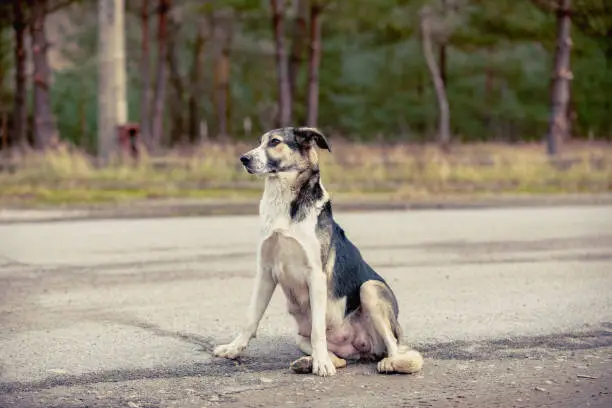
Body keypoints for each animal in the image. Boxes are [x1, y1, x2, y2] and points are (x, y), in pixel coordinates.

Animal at [213, 126, 424, 376]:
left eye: (275, 142)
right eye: (260, 142)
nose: (243, 159)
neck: (285, 202)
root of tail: (359, 348)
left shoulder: (315, 275)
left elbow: (317, 330)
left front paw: (321, 364)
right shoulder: (265, 272)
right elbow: (251, 318)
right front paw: (233, 349)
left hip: (370, 289)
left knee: (400, 352)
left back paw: (387, 363)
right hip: (300, 337)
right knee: (340, 359)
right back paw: (307, 362)